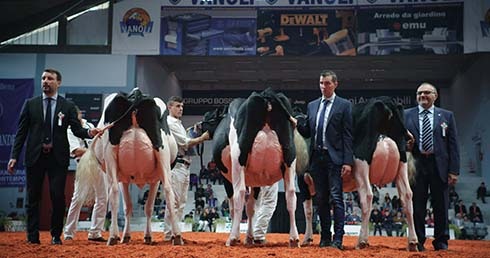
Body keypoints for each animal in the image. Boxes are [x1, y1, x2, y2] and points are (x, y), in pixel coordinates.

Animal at [77, 89, 181, 245]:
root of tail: (136, 94)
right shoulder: (152, 179)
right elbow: (143, 207)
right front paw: (142, 236)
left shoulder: (127, 178)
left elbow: (132, 207)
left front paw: (131, 235)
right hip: (161, 152)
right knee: (168, 190)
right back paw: (177, 236)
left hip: (112, 154)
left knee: (114, 192)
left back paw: (113, 236)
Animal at [212, 87, 300, 247]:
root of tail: (265, 95)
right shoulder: (256, 179)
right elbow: (251, 208)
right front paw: (249, 237)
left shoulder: (226, 178)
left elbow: (234, 207)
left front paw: (241, 236)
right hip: (290, 157)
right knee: (291, 194)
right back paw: (294, 238)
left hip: (238, 159)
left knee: (239, 194)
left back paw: (232, 238)